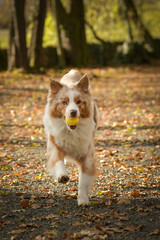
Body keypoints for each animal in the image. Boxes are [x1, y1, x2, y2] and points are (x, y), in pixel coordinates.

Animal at [43, 70, 98, 206]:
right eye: (64, 102)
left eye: (79, 102)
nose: (73, 112)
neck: (71, 132)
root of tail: (73, 72)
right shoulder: (55, 143)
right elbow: (58, 160)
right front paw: (62, 176)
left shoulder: (87, 154)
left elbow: (83, 179)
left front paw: (83, 199)